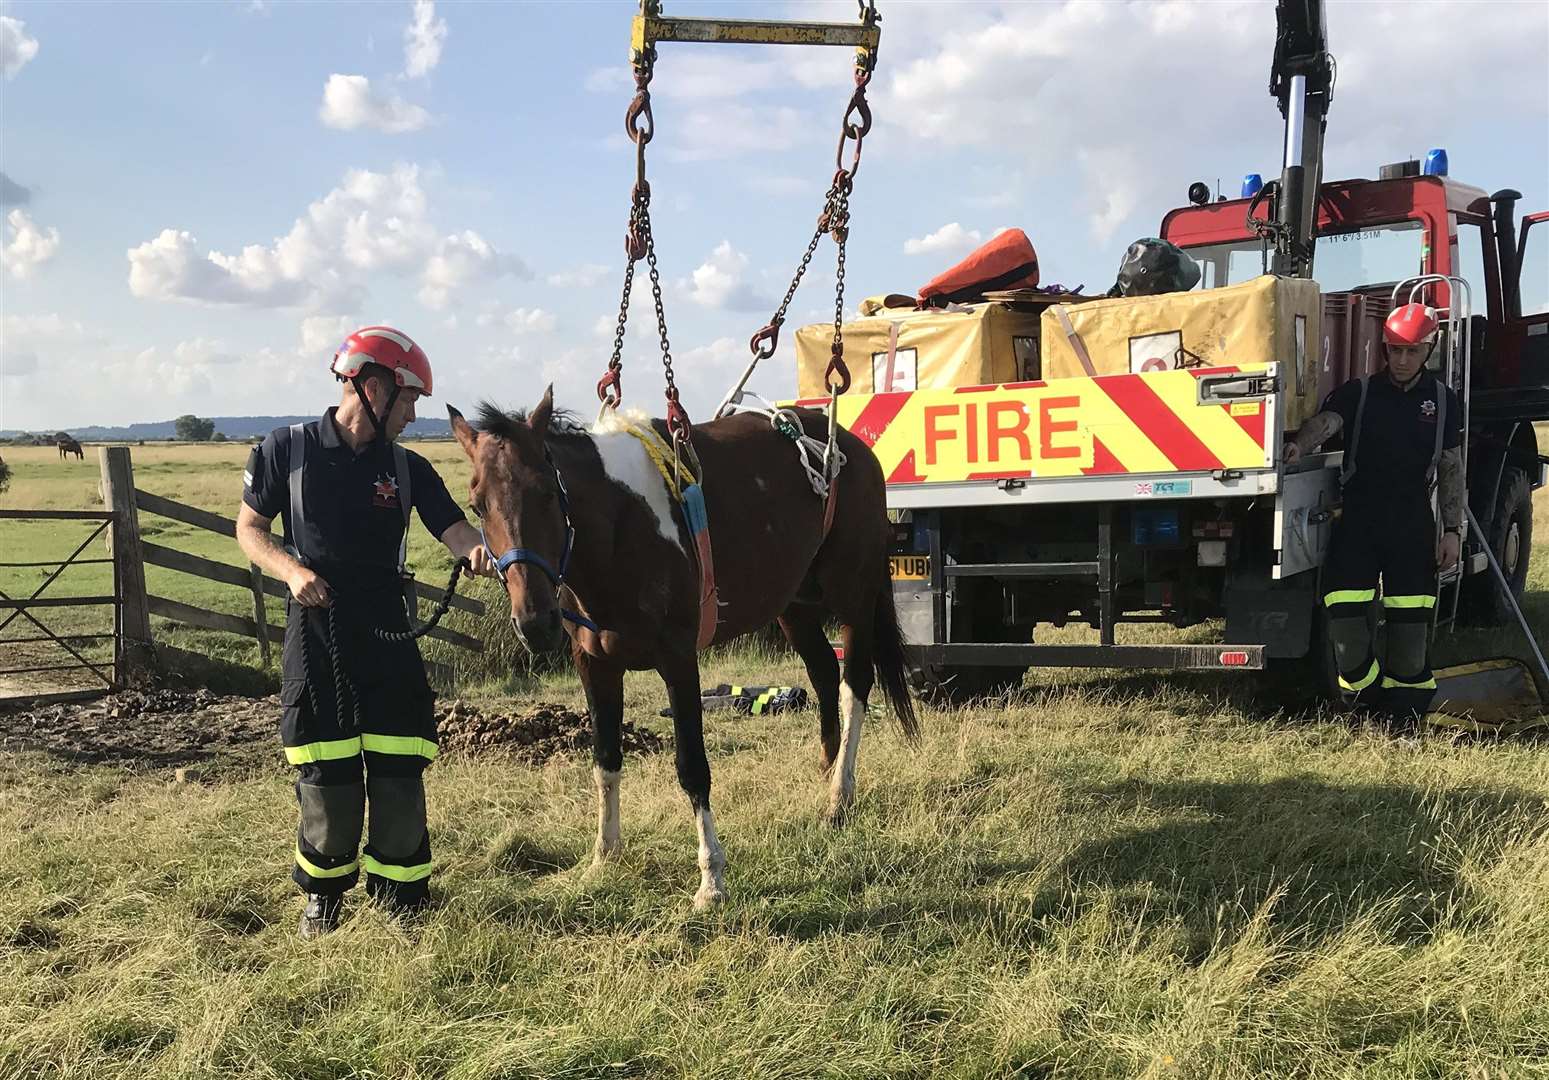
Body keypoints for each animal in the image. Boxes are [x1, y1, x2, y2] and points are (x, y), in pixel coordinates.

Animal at [452, 388, 917, 911]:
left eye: (548, 492)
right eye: (477, 505)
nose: (535, 621)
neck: (621, 526)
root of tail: (852, 446)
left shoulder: (678, 659)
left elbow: (692, 768)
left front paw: (711, 879)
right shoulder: (594, 665)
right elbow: (605, 761)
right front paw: (604, 857)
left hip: (853, 593)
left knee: (853, 685)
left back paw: (840, 794)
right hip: (794, 605)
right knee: (822, 674)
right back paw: (827, 772)